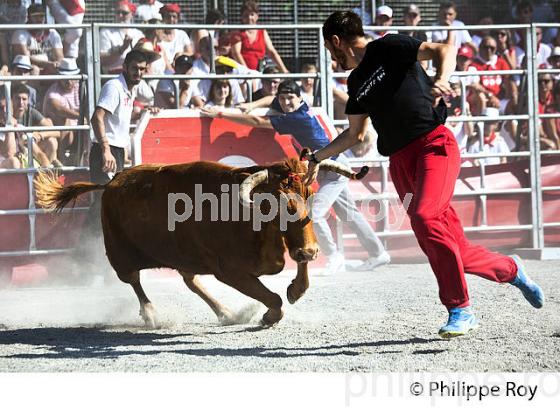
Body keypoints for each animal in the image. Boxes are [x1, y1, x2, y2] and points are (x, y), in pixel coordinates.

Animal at [36, 157, 368, 326]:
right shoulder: (229, 271)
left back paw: (227, 313)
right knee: (134, 281)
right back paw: (152, 315)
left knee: (189, 280)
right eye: (278, 203)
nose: (311, 249)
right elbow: (272, 297)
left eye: (309, 195)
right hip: (120, 254)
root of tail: (112, 182)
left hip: (184, 256)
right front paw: (269, 315)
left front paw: (297, 288)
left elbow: (297, 268)